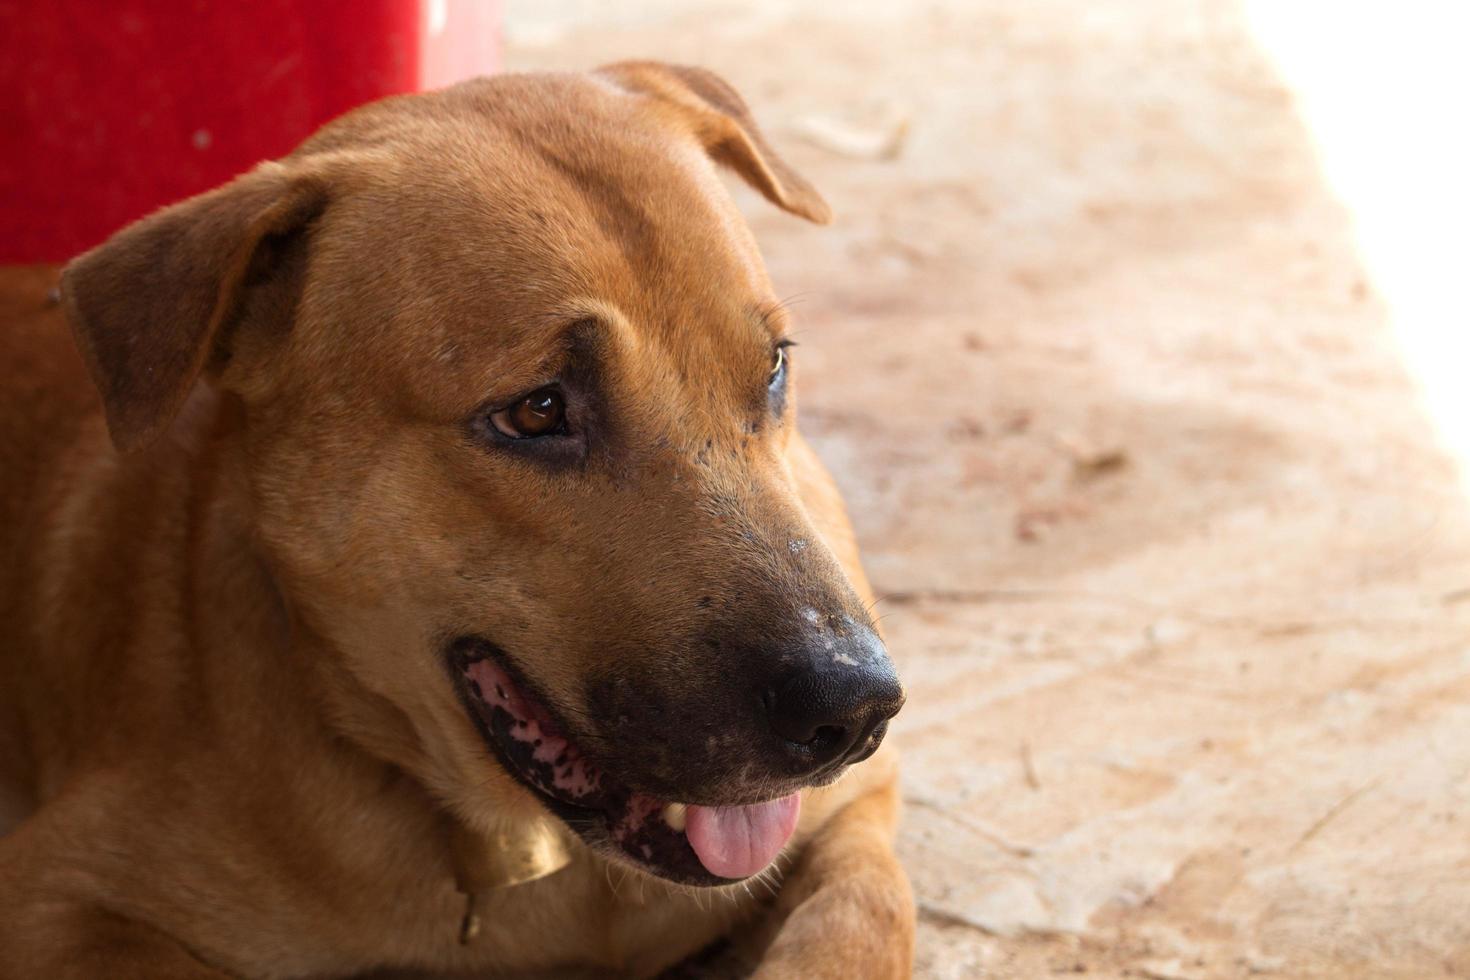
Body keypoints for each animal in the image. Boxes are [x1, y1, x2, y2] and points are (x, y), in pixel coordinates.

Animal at [0, 65, 911, 975]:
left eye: (774, 366)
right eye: (538, 412)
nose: (856, 711)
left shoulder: (857, 815)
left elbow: (862, 924)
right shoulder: (61, 898)